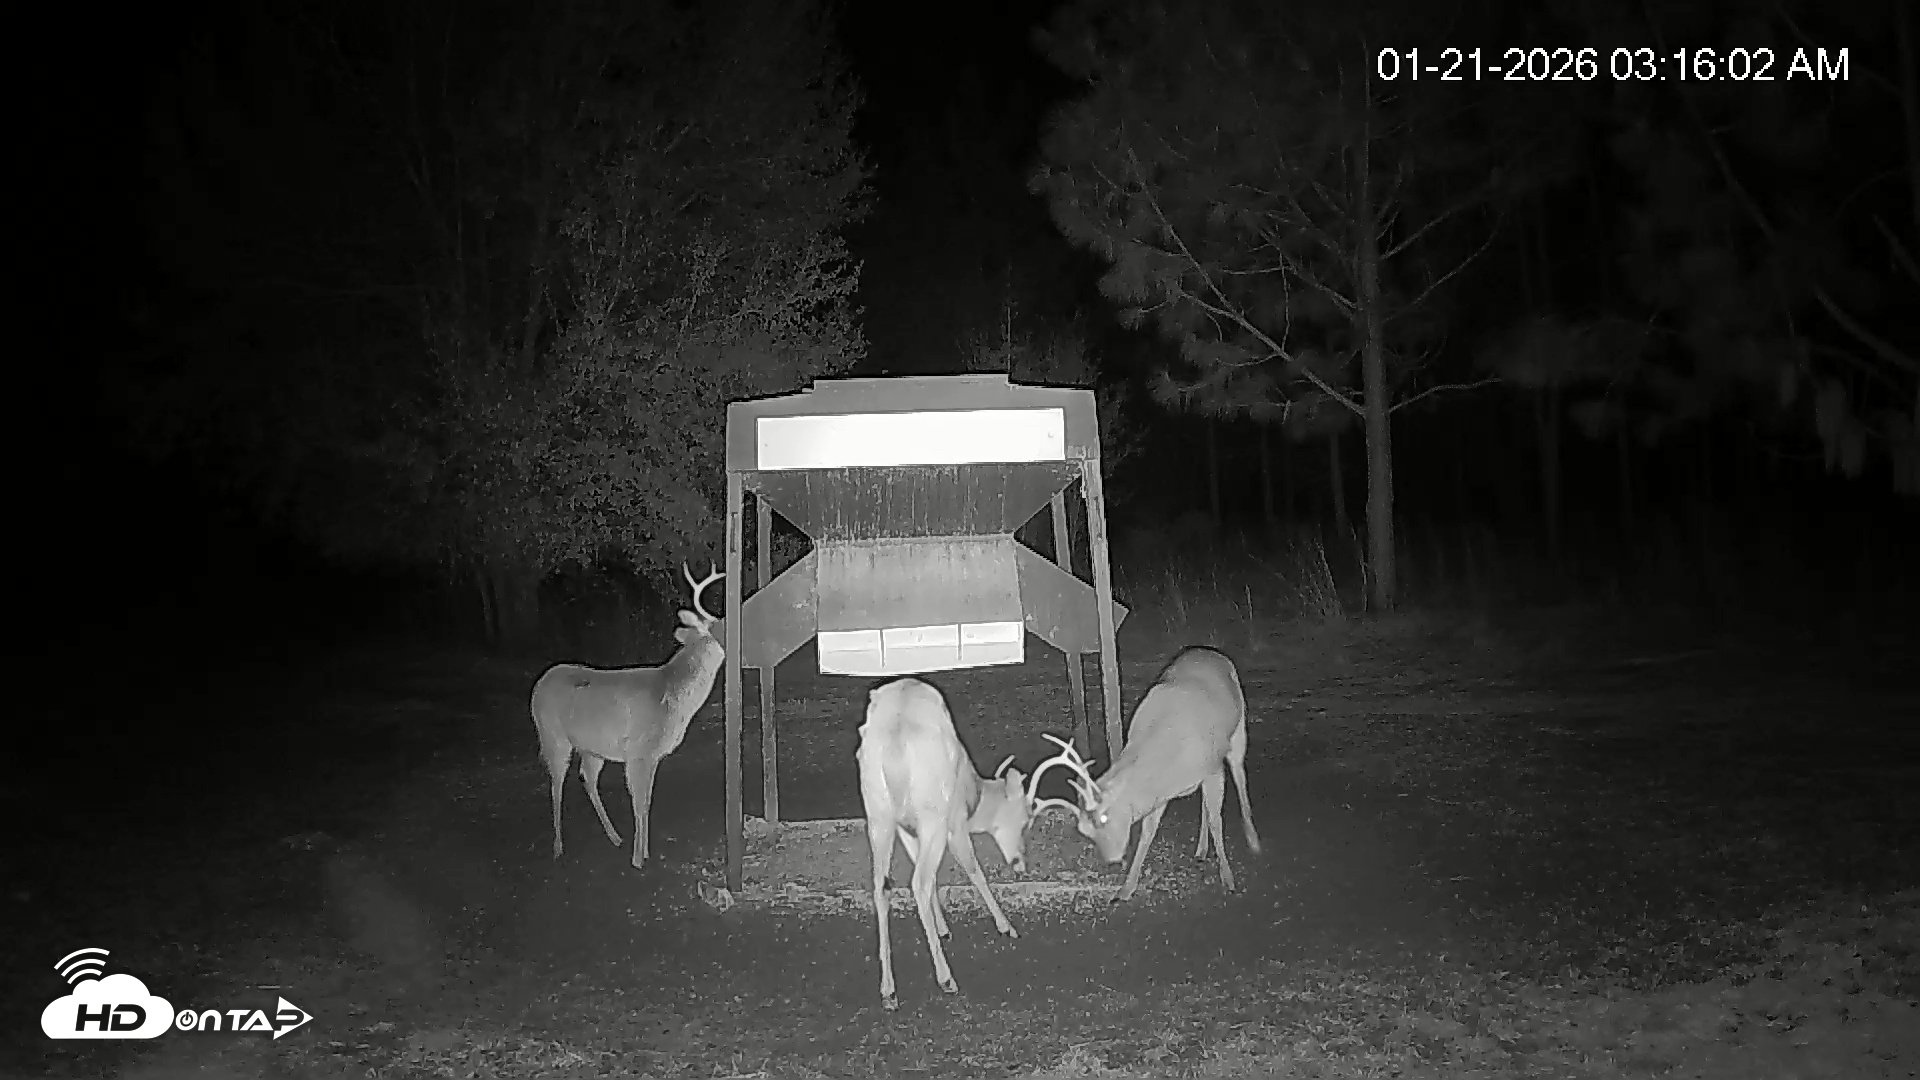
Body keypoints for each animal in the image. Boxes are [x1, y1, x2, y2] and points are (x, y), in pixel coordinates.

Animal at [529, 563, 726, 870]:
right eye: (721, 623)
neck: (671, 694)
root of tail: (538, 686)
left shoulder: (652, 755)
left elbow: (647, 801)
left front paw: (643, 852)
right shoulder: (638, 752)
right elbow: (640, 802)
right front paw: (638, 859)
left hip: (591, 747)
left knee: (587, 777)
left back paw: (614, 836)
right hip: (552, 735)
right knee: (555, 783)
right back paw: (559, 846)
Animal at [855, 676, 1083, 1010]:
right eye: (1026, 819)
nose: (1021, 863)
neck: (972, 792)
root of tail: (894, 748)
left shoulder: (908, 829)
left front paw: (942, 928)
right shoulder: (955, 822)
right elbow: (973, 869)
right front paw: (1007, 927)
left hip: (878, 813)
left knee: (882, 886)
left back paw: (889, 991)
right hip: (932, 814)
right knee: (918, 882)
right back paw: (946, 979)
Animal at [1029, 645, 1261, 902]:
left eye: (1104, 818)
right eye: (1084, 830)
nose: (1111, 859)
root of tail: (1211, 652)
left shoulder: (1213, 768)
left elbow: (1217, 821)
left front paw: (1228, 878)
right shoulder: (1162, 792)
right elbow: (1148, 832)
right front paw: (1126, 888)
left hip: (1237, 734)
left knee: (1239, 778)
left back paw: (1253, 841)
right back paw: (1201, 849)